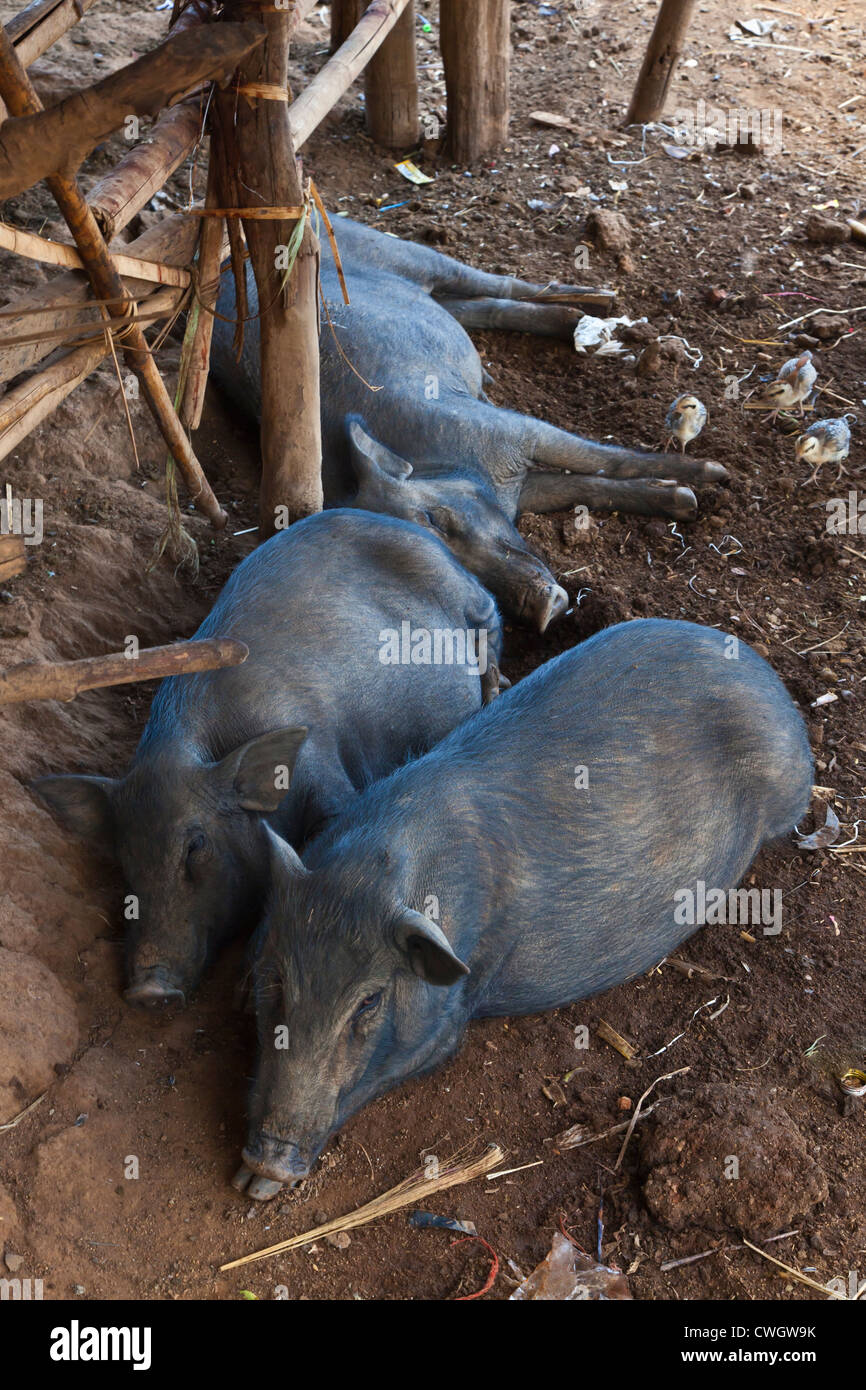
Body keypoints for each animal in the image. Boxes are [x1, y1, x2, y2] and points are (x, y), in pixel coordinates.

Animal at [33, 508, 505, 1000]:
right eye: (125, 860)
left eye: (195, 847)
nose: (148, 991)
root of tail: (412, 530)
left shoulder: (326, 769)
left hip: (474, 602)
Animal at [214, 218, 728, 631]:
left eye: (438, 519)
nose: (542, 610)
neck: (449, 464)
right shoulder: (520, 488)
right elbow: (589, 487)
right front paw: (684, 502)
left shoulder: (516, 431)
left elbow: (607, 460)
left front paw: (714, 479)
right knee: (479, 306)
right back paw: (577, 322)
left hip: (399, 251)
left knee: (492, 282)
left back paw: (600, 304)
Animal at [233, 619, 811, 1195]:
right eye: (275, 977)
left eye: (370, 1001)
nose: (270, 1161)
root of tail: (765, 674)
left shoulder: (455, 1012)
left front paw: (254, 1188)